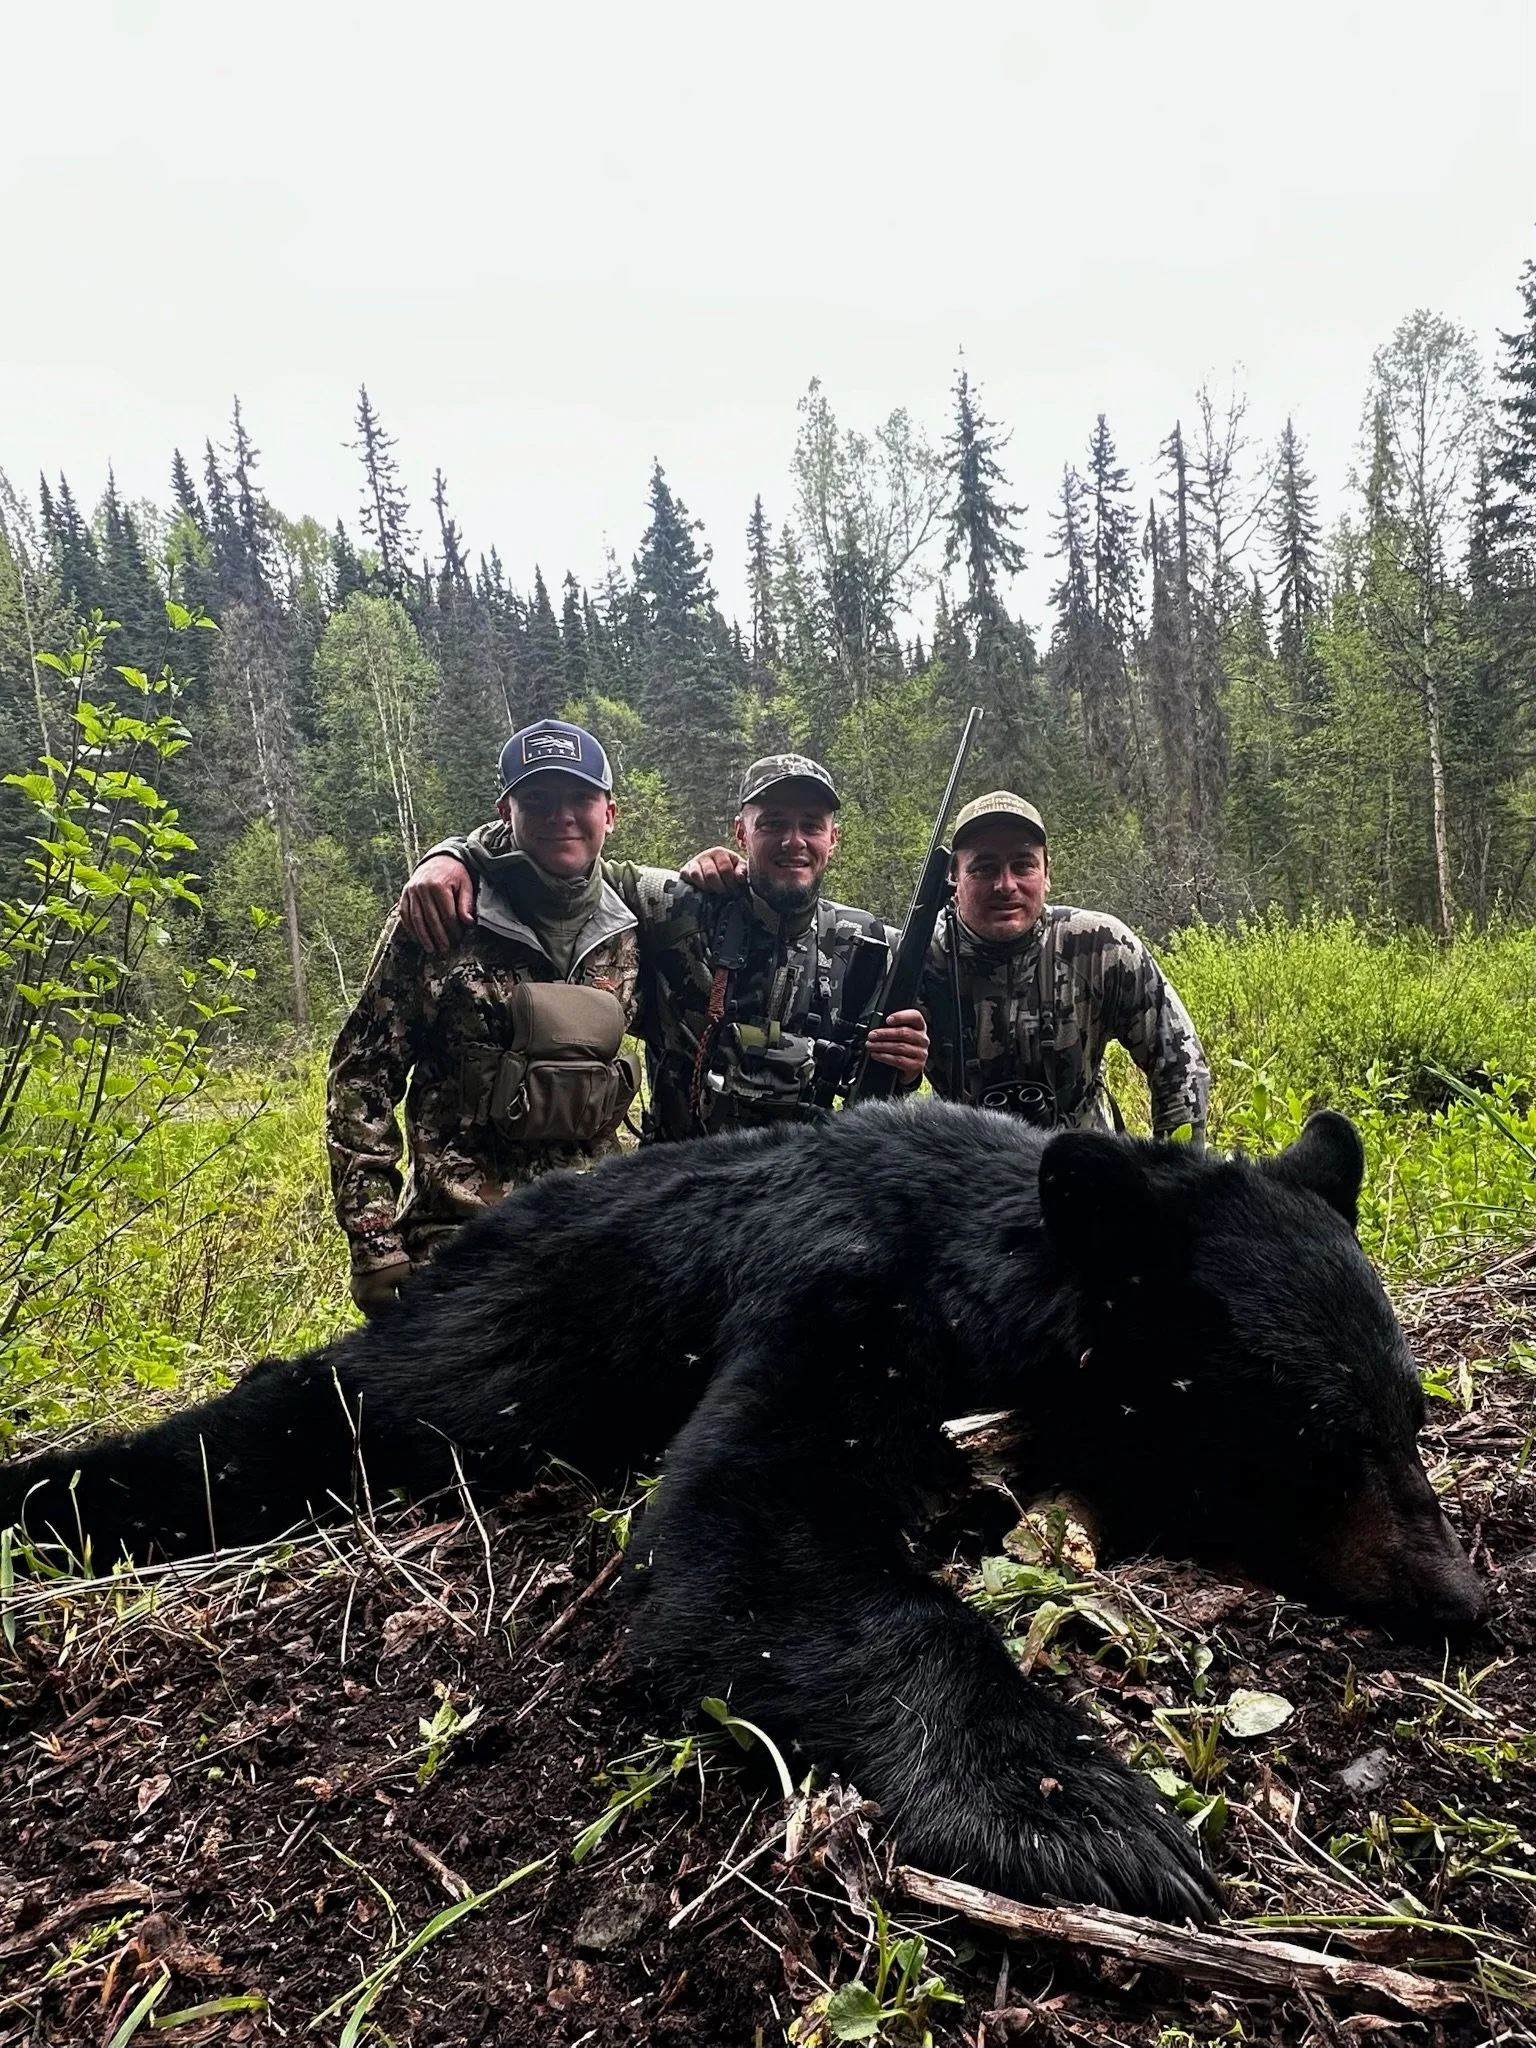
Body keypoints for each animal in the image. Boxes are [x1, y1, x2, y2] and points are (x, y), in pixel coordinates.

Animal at [0, 1100, 1484, 1925]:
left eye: (1410, 1412)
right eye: (1309, 1434)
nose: (1459, 1595)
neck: (990, 1260)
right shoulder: (842, 1294)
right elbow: (743, 1531)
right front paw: (1074, 1806)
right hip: (485, 1354)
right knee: (303, 1416)